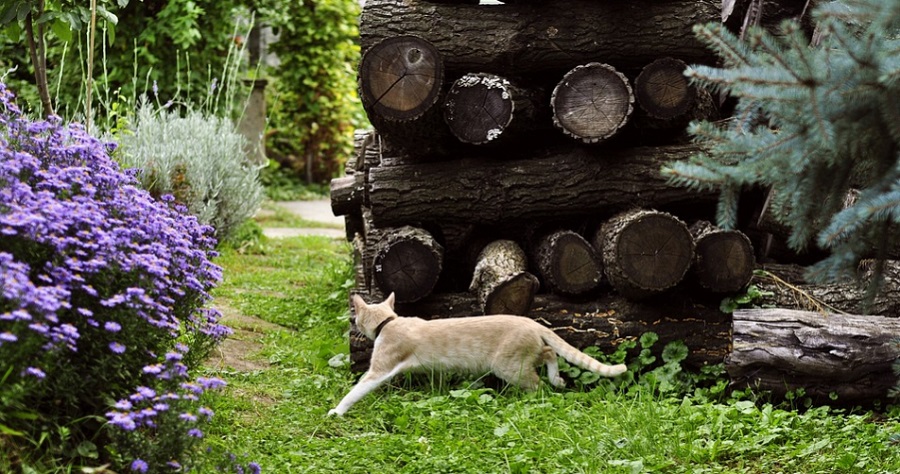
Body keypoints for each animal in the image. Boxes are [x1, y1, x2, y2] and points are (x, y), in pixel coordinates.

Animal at [326, 292, 628, 414]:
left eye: (356, 318)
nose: (353, 325)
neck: (389, 322)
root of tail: (531, 321)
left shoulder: (379, 370)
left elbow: (356, 390)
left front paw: (336, 411)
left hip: (508, 367)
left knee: (537, 382)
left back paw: (541, 393)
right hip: (520, 359)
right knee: (548, 352)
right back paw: (558, 379)